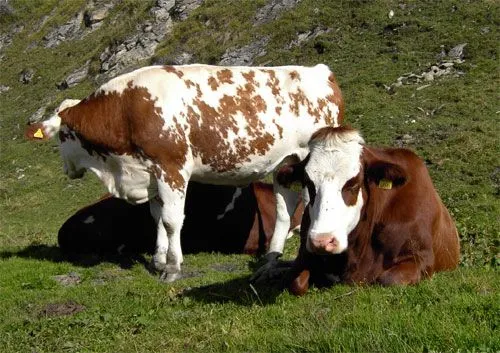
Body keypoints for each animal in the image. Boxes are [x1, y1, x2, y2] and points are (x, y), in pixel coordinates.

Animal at [278, 126, 460, 294]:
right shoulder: (304, 253)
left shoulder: (422, 257)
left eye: (353, 184)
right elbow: (296, 283)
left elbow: (389, 279)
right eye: (308, 184)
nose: (322, 241)